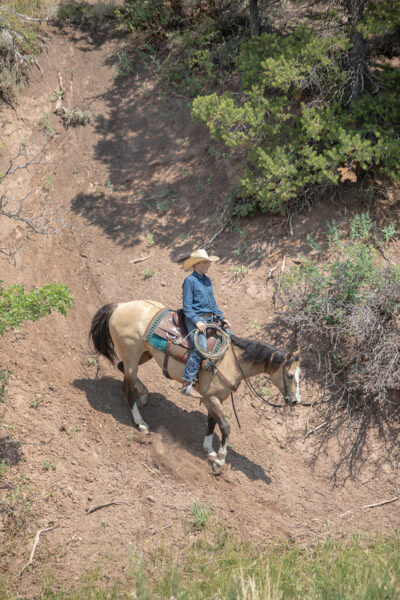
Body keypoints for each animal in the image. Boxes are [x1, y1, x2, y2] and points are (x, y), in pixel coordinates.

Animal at [88, 298, 300, 472]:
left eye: (300, 376)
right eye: (290, 375)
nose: (296, 401)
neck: (231, 360)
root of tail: (120, 306)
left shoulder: (212, 398)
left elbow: (212, 422)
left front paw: (209, 449)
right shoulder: (212, 397)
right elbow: (225, 426)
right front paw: (220, 461)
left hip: (143, 354)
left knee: (121, 368)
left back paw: (144, 394)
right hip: (131, 355)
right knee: (127, 388)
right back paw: (141, 423)